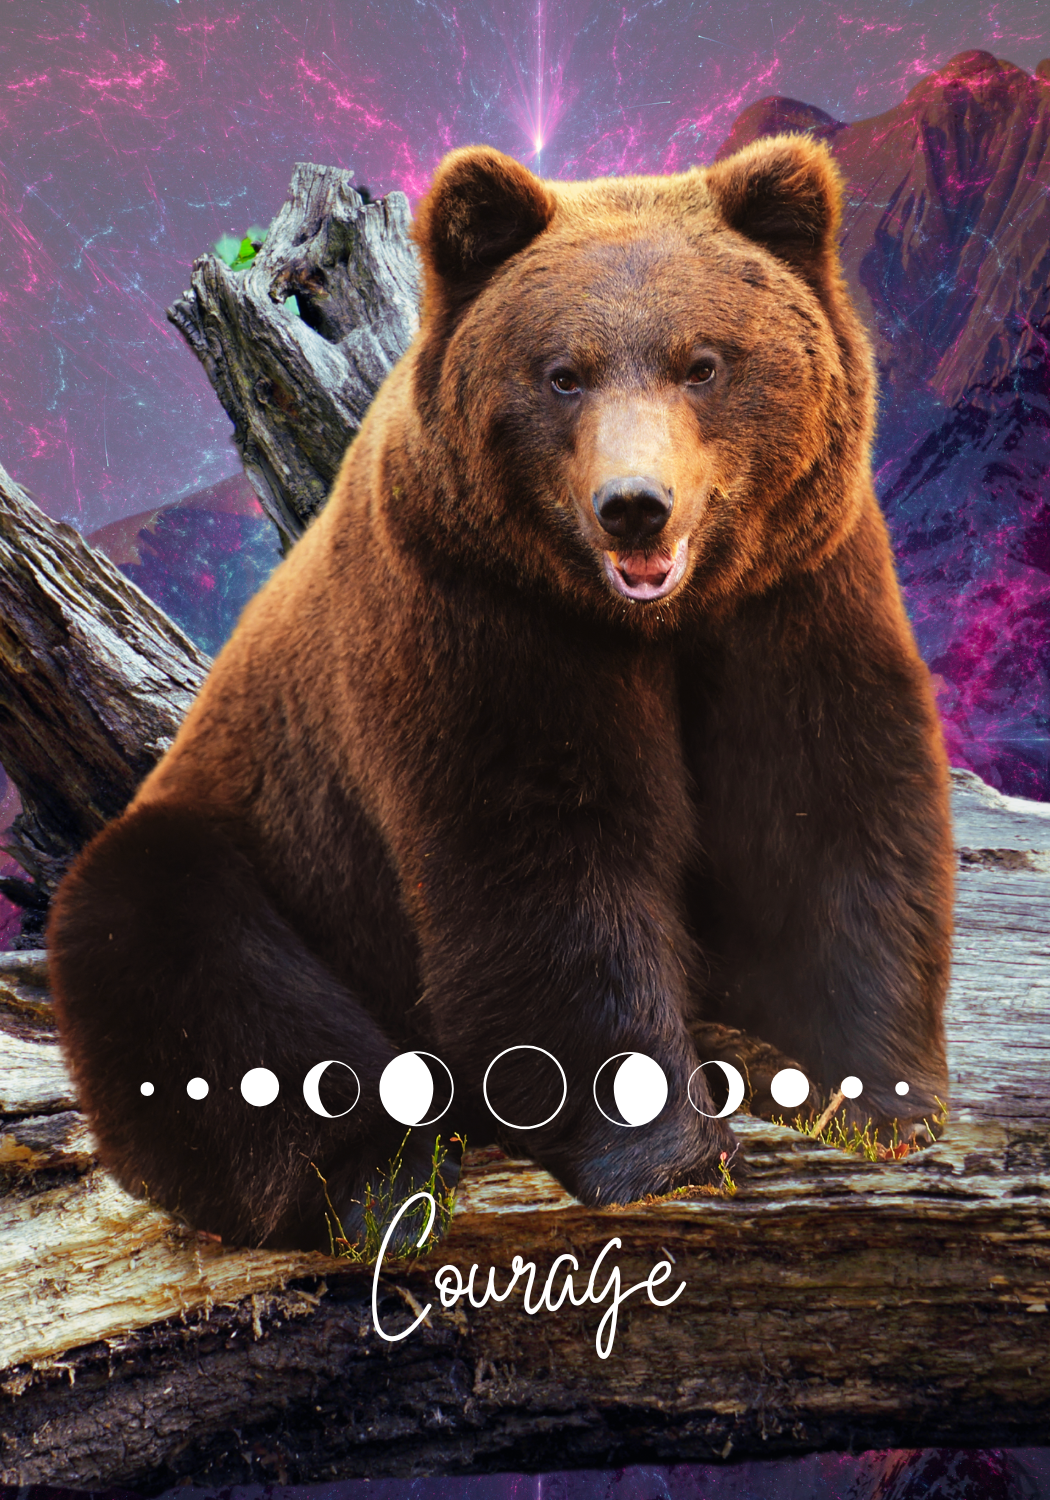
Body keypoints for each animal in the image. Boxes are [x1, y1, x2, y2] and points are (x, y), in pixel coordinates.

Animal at [47, 136, 954, 1251]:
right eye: (563, 374)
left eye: (704, 363)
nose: (634, 507)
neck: (655, 623)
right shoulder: (486, 622)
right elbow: (547, 872)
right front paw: (666, 1152)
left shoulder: (793, 597)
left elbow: (829, 814)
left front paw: (870, 1098)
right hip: (243, 840)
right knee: (188, 965)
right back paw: (380, 1174)